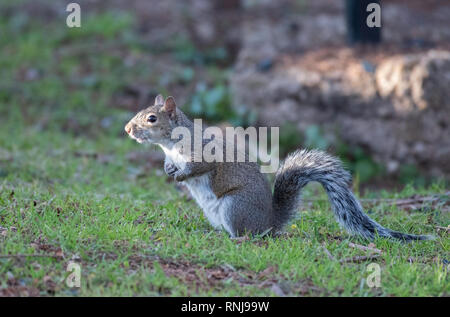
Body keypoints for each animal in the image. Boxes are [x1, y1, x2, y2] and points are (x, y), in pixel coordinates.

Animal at [124, 94, 432, 242]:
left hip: (235, 206)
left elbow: (202, 166)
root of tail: (270, 222)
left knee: (248, 235)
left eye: (151, 118)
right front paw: (169, 170)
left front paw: (182, 175)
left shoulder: (205, 153)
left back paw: (237, 240)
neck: (170, 144)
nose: (127, 129)